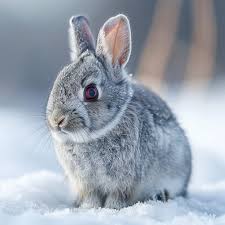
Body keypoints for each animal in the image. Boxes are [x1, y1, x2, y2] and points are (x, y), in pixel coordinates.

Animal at [46, 14, 192, 210]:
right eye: (57, 81)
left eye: (91, 92)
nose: (57, 120)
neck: (94, 136)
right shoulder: (86, 185)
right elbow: (91, 197)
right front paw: (89, 208)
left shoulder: (124, 183)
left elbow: (118, 197)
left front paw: (112, 209)